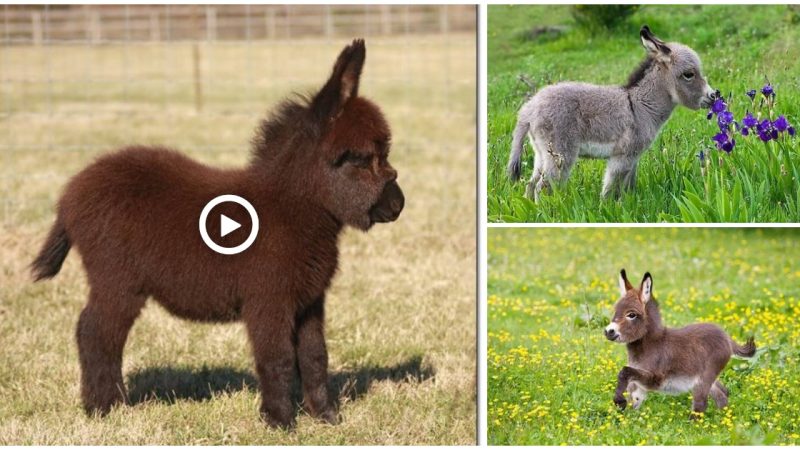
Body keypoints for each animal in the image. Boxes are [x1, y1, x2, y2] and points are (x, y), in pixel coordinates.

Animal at [30, 39, 404, 428]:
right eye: (359, 159)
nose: (398, 206)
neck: (291, 209)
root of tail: (71, 193)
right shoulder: (268, 299)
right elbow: (278, 358)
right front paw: (280, 422)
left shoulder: (309, 300)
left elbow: (315, 357)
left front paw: (326, 417)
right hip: (117, 281)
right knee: (96, 334)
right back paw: (104, 408)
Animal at [506, 25, 720, 199]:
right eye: (689, 74)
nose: (714, 96)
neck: (640, 106)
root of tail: (529, 109)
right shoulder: (622, 157)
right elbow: (610, 190)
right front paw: (606, 209)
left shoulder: (633, 158)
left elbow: (627, 188)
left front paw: (628, 205)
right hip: (560, 154)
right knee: (542, 187)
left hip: (541, 153)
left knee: (530, 185)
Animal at [608, 268, 756, 416]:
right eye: (615, 312)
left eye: (631, 315)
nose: (608, 331)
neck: (649, 344)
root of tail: (726, 337)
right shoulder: (639, 381)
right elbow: (633, 394)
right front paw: (625, 412)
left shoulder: (656, 379)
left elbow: (624, 371)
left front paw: (619, 401)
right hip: (709, 378)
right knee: (722, 393)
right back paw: (724, 418)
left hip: (704, 377)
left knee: (701, 404)